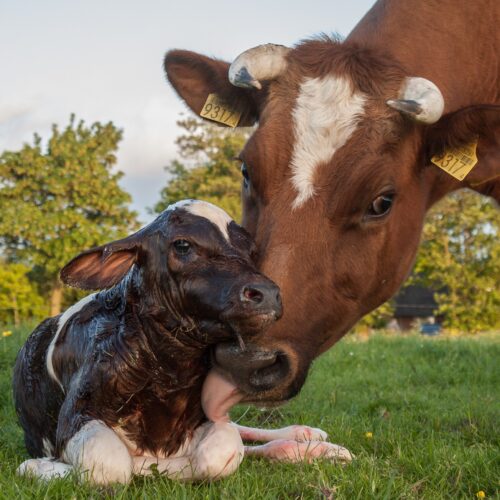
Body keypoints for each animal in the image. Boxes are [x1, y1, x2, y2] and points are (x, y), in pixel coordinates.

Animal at [12, 200, 352, 484]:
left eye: (251, 251)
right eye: (183, 244)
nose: (267, 293)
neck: (168, 371)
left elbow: (223, 451)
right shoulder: (77, 413)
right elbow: (110, 465)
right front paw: (40, 466)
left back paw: (310, 440)